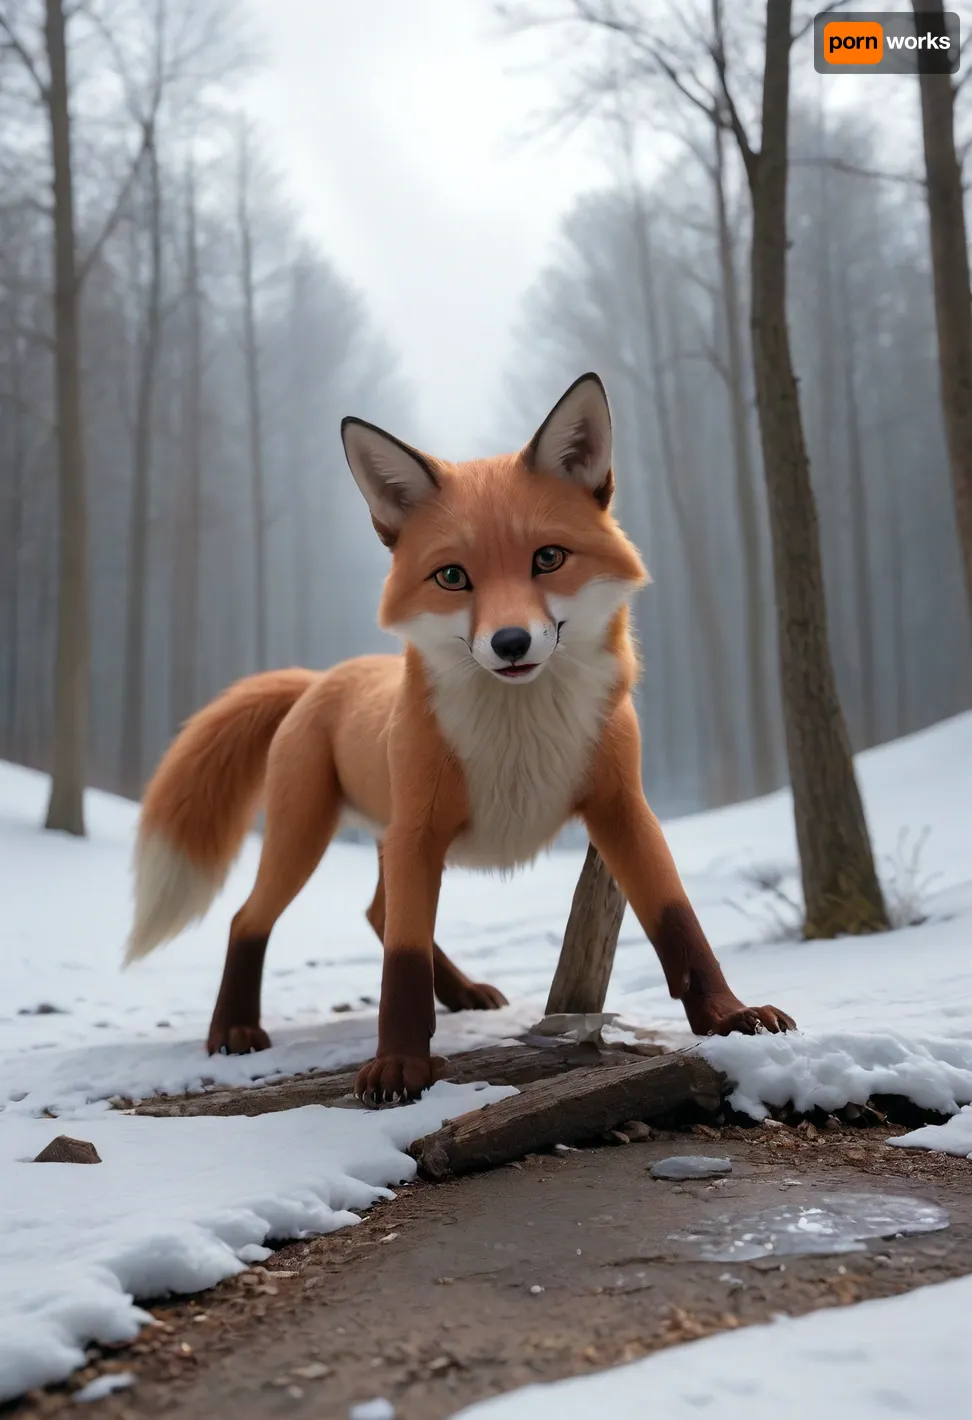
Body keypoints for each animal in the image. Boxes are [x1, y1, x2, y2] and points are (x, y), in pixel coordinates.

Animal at [125, 373, 794, 1103]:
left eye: (548, 558)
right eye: (452, 576)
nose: (510, 643)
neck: (519, 733)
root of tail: (322, 676)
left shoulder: (621, 808)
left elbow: (679, 922)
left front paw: (729, 1018)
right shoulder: (419, 832)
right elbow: (403, 962)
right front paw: (399, 1066)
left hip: (378, 839)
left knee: (374, 912)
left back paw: (464, 992)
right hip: (309, 834)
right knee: (252, 919)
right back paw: (233, 1032)